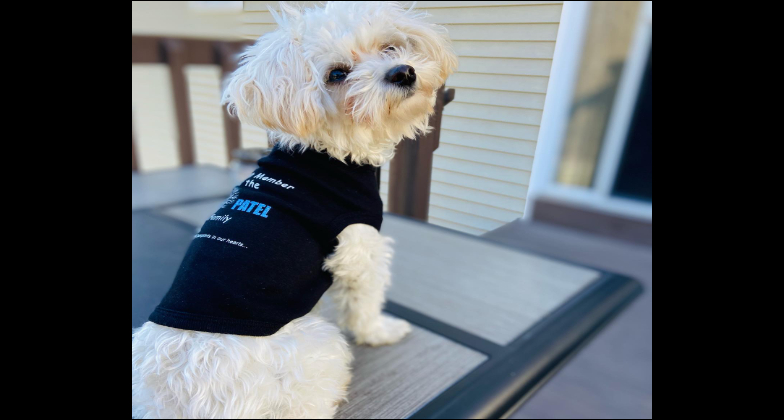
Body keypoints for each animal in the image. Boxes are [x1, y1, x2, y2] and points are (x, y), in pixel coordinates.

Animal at [132, 1, 456, 418]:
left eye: (389, 47)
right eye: (337, 74)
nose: (403, 72)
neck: (330, 152)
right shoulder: (359, 249)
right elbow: (365, 304)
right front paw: (381, 332)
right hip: (317, 346)